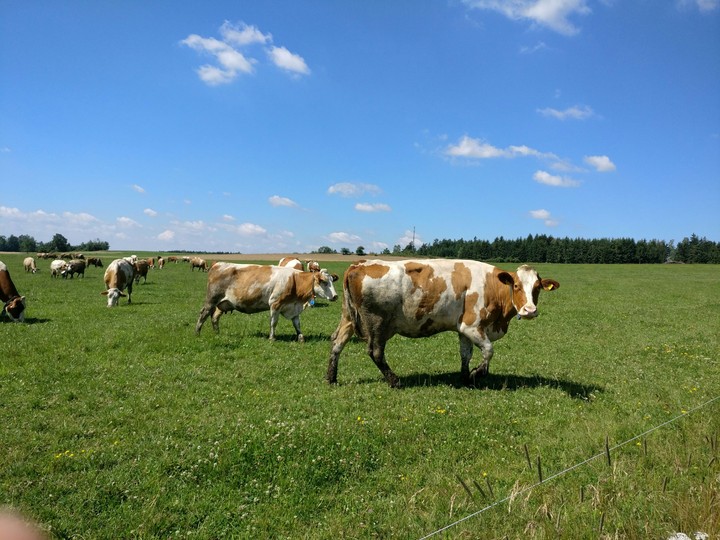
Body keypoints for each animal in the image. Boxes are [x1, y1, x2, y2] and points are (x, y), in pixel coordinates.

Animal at [196, 263, 339, 342]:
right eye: (324, 282)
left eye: (332, 281)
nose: (336, 296)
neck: (294, 281)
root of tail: (217, 264)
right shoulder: (275, 304)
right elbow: (273, 323)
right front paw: (272, 338)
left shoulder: (293, 308)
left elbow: (297, 324)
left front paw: (301, 337)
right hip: (211, 300)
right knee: (203, 314)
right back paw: (197, 333)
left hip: (222, 304)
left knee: (214, 317)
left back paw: (217, 333)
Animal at [326, 259, 560, 388]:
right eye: (517, 286)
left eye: (537, 287)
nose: (529, 310)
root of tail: (358, 265)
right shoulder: (471, 326)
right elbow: (488, 351)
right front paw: (477, 373)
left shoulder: (463, 329)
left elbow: (466, 354)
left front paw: (465, 377)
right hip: (377, 323)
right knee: (375, 352)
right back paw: (394, 380)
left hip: (348, 317)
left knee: (337, 342)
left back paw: (331, 377)